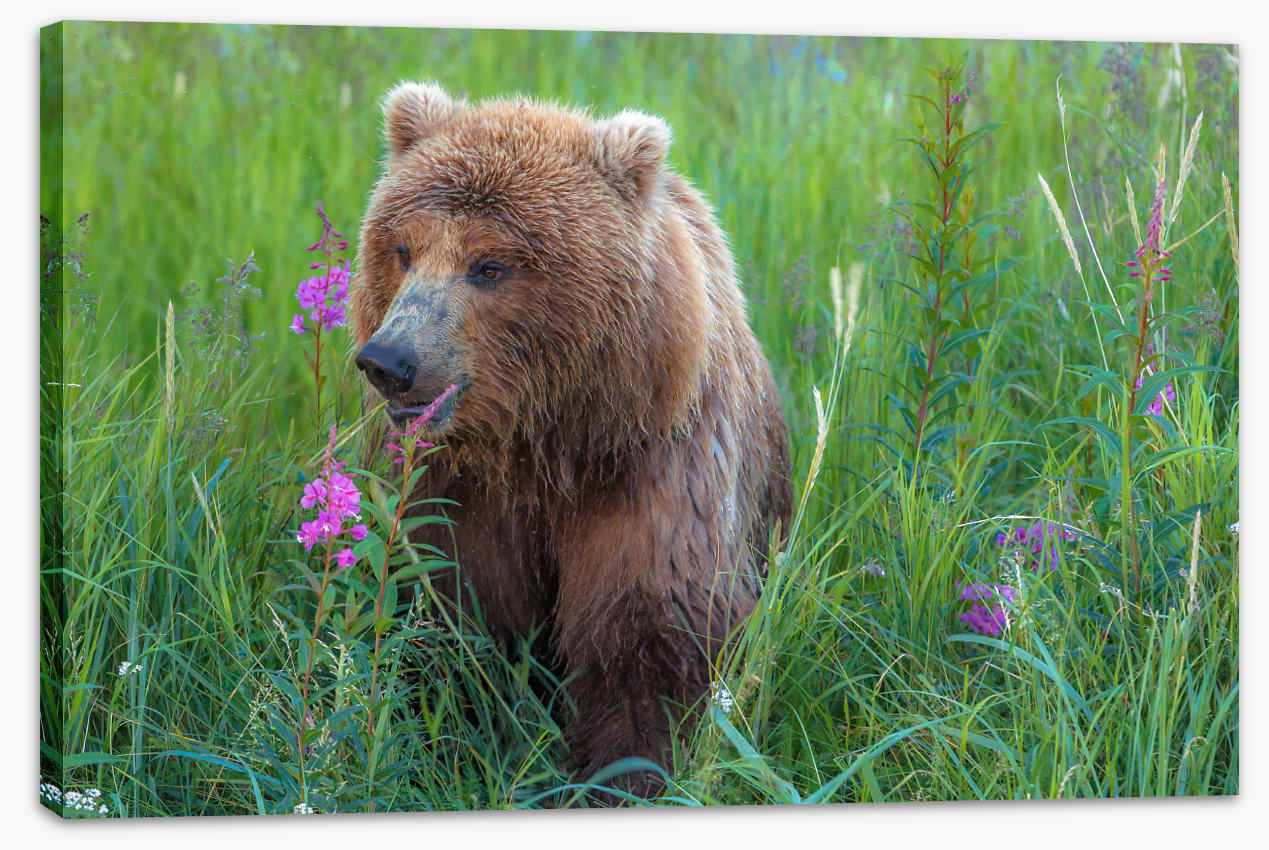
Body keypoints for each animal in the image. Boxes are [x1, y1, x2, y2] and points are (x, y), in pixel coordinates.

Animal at [350, 82, 791, 800]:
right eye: (402, 250)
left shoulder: (651, 474)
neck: (543, 443)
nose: (389, 360)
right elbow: (454, 614)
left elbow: (647, 638)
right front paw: (455, 750)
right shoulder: (457, 493)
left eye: (489, 265)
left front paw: (622, 776)